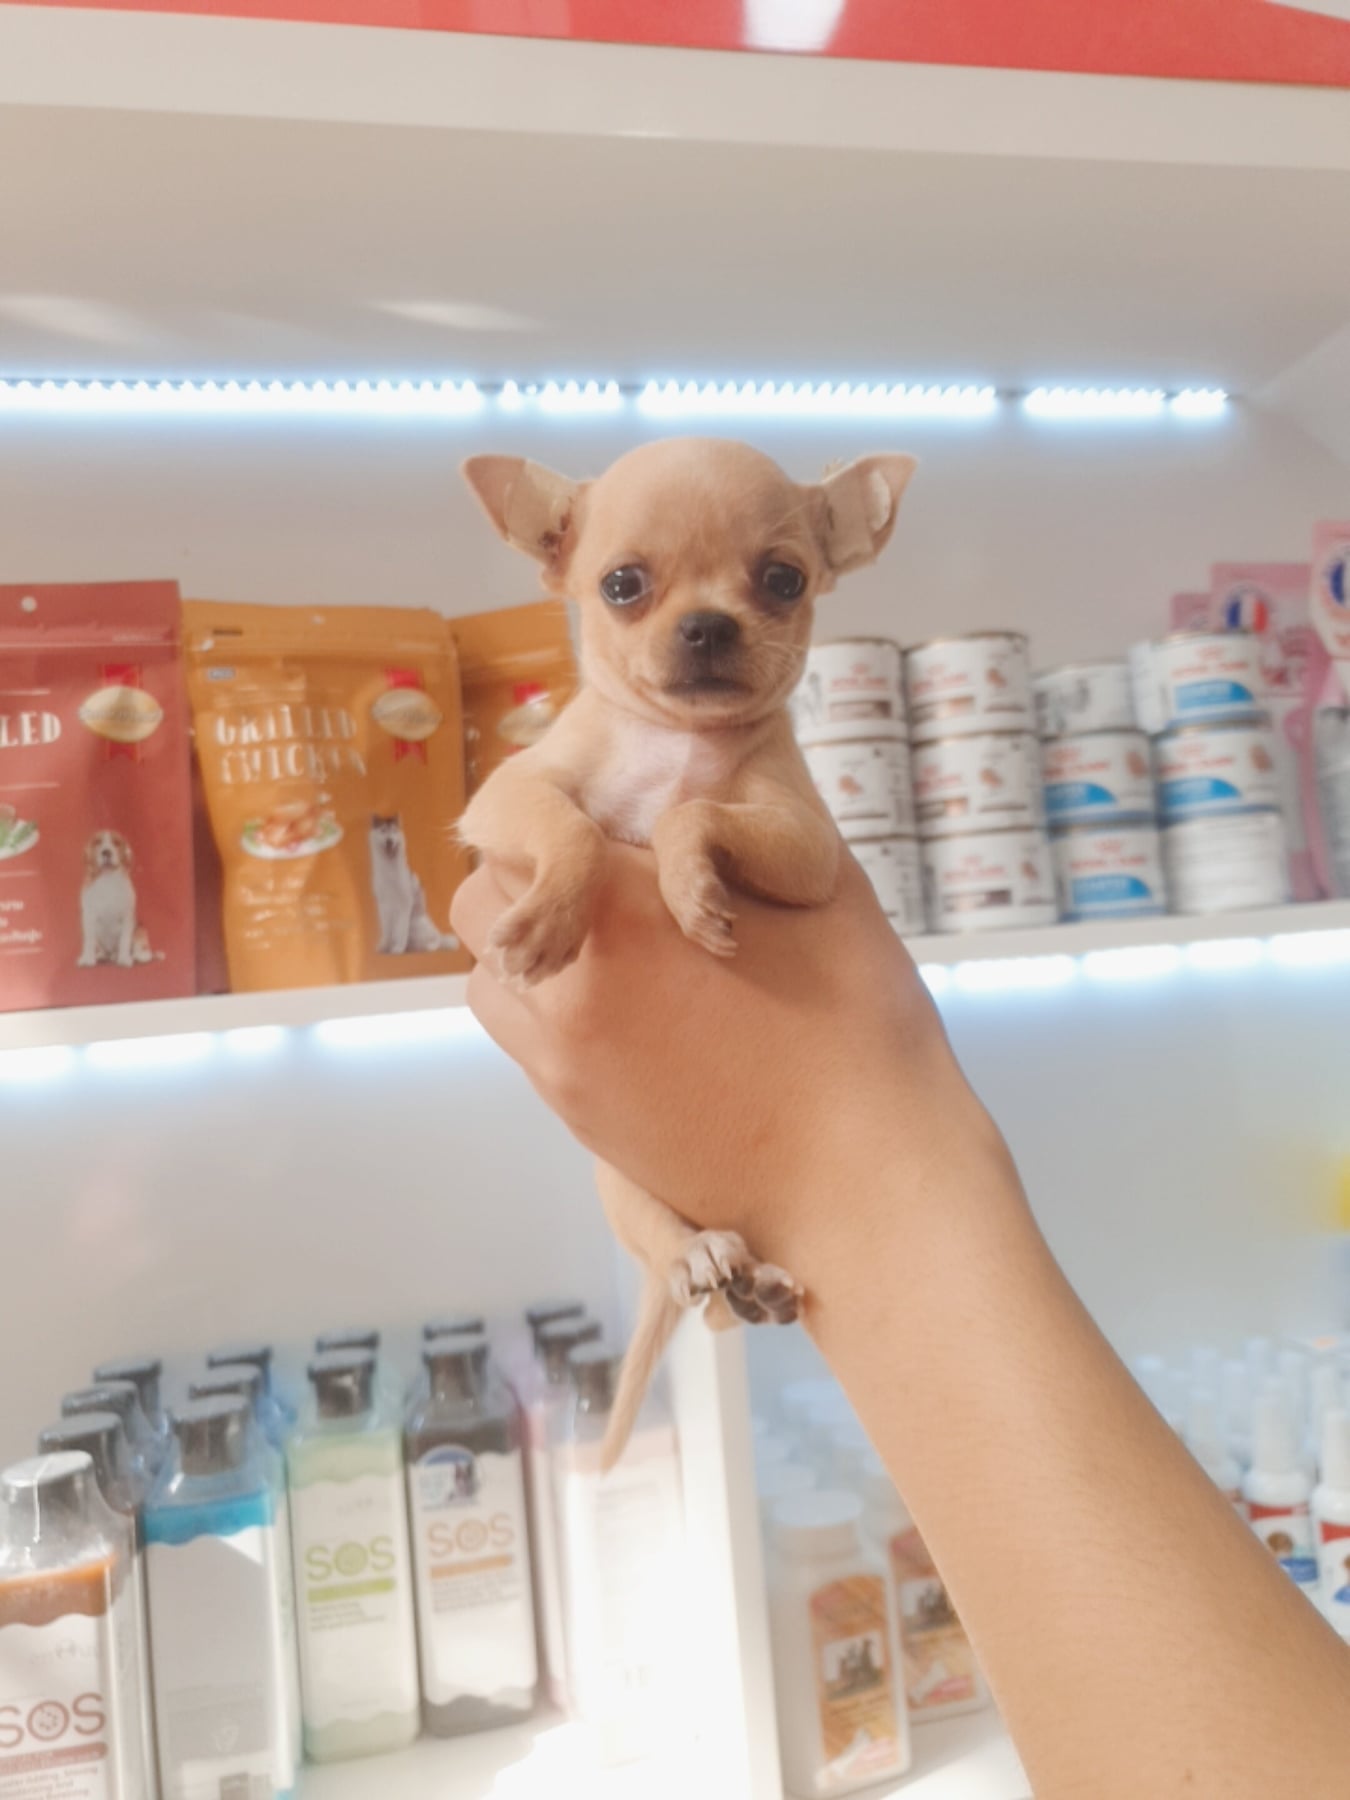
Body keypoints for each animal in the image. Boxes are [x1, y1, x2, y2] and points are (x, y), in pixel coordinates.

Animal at [78, 829, 153, 968]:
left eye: (116, 842)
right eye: (97, 842)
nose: (106, 852)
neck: (108, 880)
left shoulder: (127, 916)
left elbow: (124, 940)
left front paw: (124, 959)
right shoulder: (88, 916)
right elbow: (88, 941)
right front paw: (87, 959)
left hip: (140, 929)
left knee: (137, 947)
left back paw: (139, 956)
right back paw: (102, 956)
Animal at [369, 814, 450, 954]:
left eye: (394, 831)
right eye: (383, 831)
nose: (389, 841)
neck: (389, 870)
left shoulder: (404, 904)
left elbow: (400, 930)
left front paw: (398, 948)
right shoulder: (383, 905)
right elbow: (387, 930)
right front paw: (384, 947)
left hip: (418, 926)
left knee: (437, 939)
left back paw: (428, 946)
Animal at [459, 437, 916, 1465]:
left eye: (785, 580)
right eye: (622, 585)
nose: (707, 626)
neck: (670, 741)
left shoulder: (803, 842)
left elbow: (691, 814)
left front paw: (688, 887)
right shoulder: (510, 797)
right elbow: (577, 829)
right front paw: (551, 919)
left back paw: (758, 1285)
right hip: (623, 1185)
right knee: (676, 1259)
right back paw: (710, 1259)